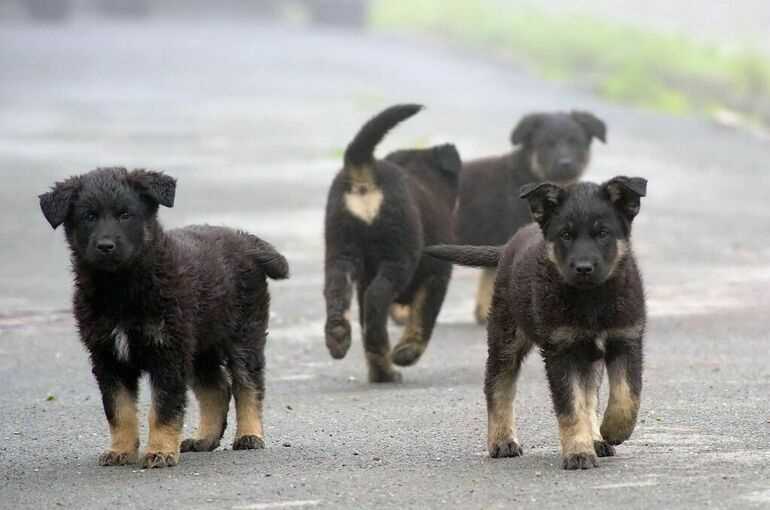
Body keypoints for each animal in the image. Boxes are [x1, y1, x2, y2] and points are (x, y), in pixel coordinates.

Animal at [38, 166, 288, 466]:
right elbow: (118, 410)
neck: (121, 288)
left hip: (243, 334)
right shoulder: (107, 357)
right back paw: (204, 439)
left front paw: (160, 451)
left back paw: (249, 435)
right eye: (89, 216)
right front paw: (121, 450)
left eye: (125, 214)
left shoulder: (167, 352)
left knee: (248, 384)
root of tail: (245, 239)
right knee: (217, 389)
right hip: (199, 345)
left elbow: (163, 408)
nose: (106, 246)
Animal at [320, 103, 460, 382]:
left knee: (338, 291)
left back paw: (339, 336)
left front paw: (381, 371)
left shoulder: (363, 278)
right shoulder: (438, 275)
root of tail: (364, 170)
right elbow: (423, 317)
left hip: (341, 250)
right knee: (377, 299)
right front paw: (407, 352)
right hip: (398, 255)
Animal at [428, 175, 644, 470]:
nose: (583, 268)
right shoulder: (560, 351)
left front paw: (611, 431)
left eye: (603, 233)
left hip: (586, 357)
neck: (592, 299)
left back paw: (596, 438)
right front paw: (578, 452)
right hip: (506, 338)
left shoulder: (626, 339)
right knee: (498, 386)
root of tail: (509, 245)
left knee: (589, 395)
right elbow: (570, 407)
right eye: (566, 235)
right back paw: (502, 441)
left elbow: (626, 396)